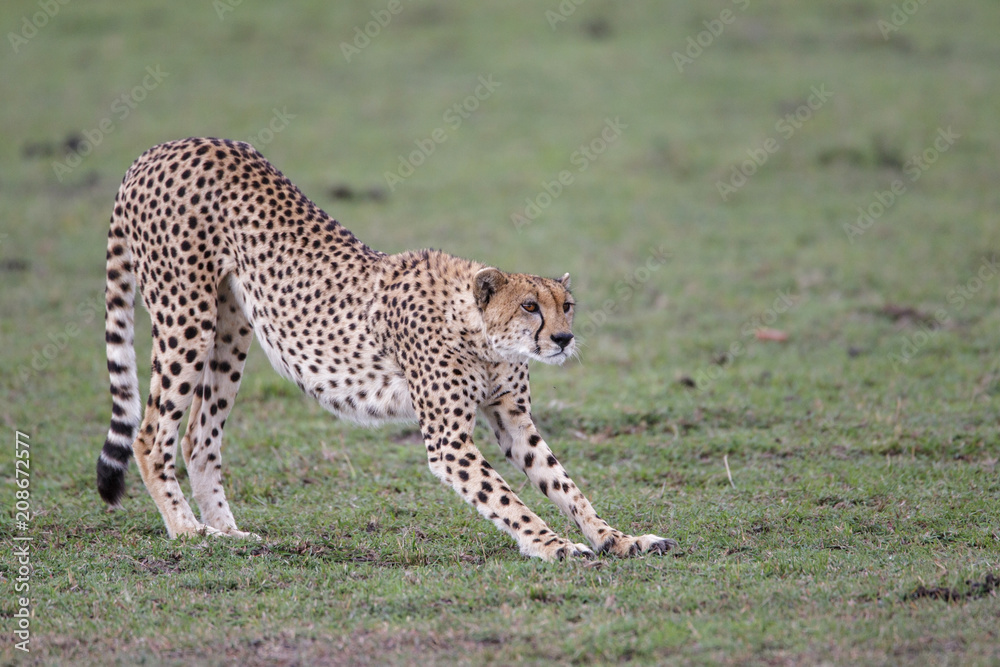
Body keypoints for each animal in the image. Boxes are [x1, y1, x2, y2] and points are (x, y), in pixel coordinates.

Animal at [95, 137, 676, 561]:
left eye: (567, 305)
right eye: (531, 306)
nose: (563, 338)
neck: (481, 333)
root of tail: (163, 147)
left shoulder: (512, 419)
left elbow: (563, 483)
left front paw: (619, 539)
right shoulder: (448, 440)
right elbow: (506, 498)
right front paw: (552, 545)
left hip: (231, 329)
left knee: (199, 436)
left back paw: (229, 533)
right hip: (186, 317)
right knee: (151, 434)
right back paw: (189, 532)